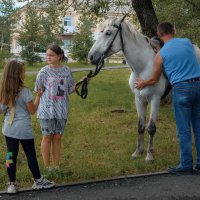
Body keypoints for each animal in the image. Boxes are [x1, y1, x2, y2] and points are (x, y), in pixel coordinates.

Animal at [88, 16, 200, 162]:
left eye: (108, 33)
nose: (90, 57)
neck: (143, 67)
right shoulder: (139, 100)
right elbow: (140, 126)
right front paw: (138, 151)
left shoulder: (155, 100)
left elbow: (151, 128)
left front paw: (149, 155)